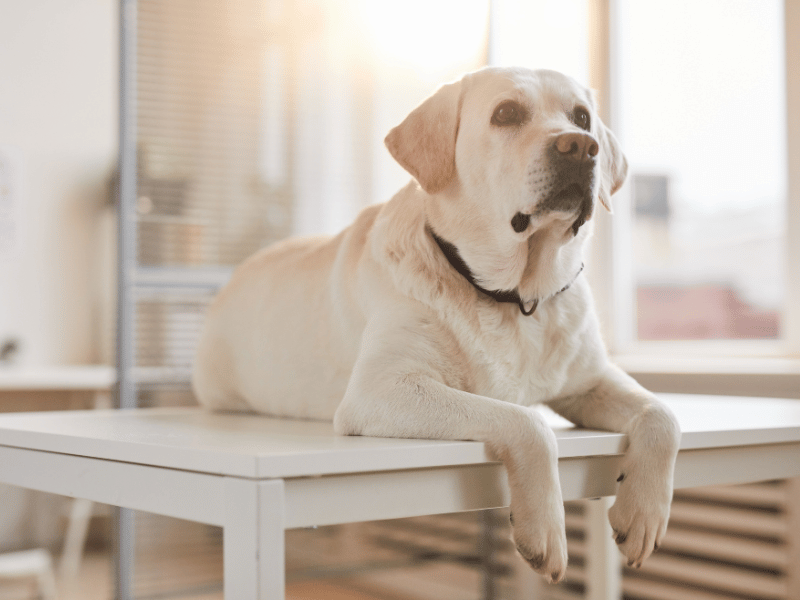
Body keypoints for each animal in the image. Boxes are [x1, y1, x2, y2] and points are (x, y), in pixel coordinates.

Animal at [191, 67, 680, 584]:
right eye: (506, 113)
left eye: (582, 117)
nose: (581, 146)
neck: (513, 296)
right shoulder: (382, 390)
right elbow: (526, 420)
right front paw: (545, 528)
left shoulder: (590, 380)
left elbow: (663, 415)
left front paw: (644, 515)